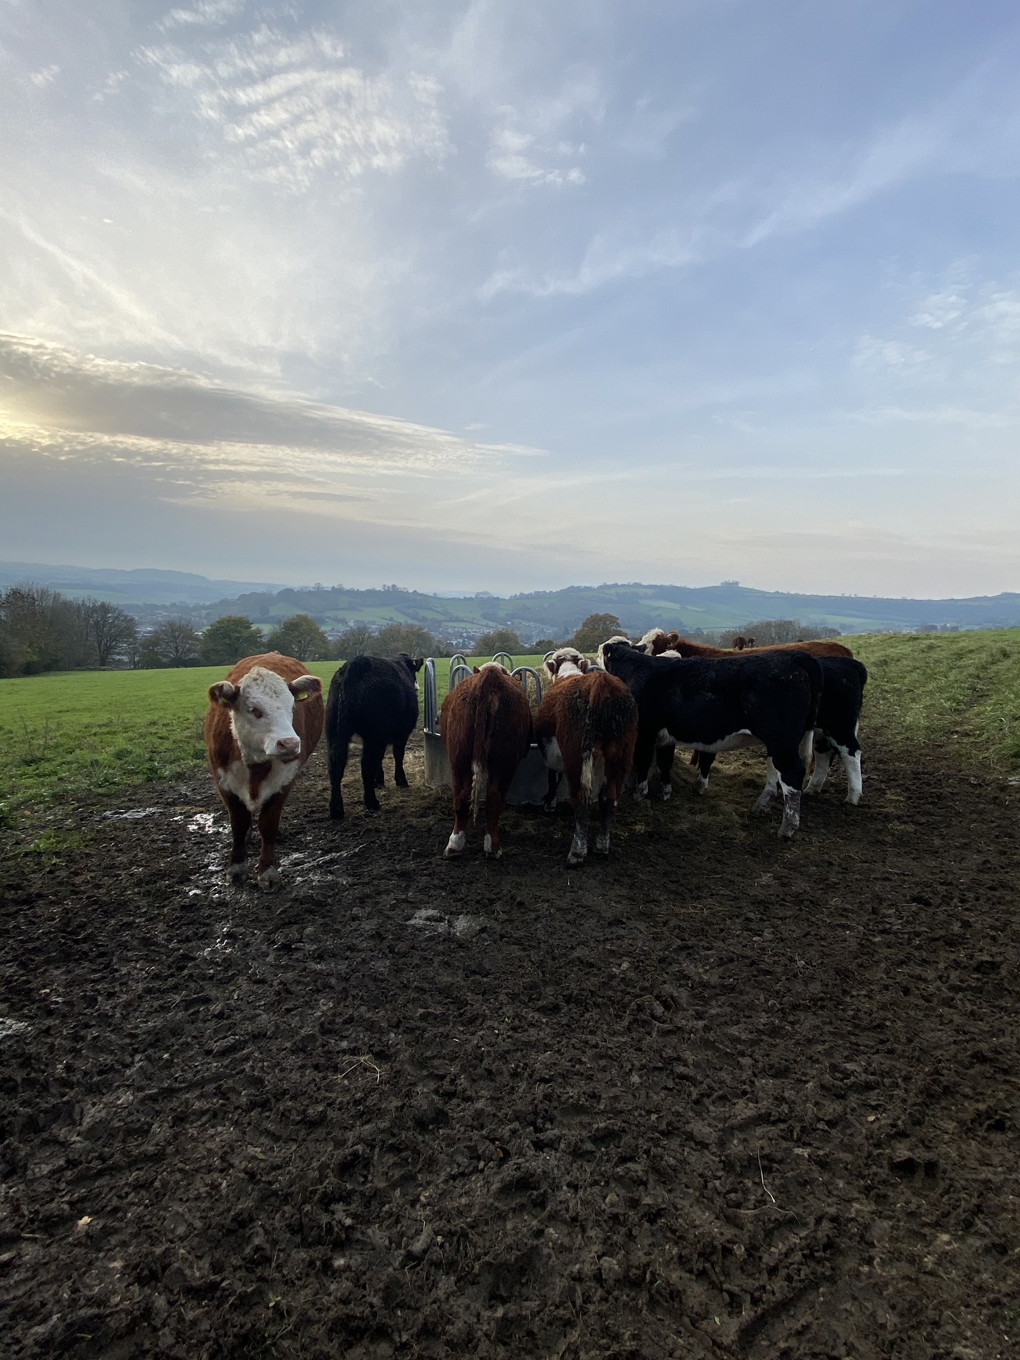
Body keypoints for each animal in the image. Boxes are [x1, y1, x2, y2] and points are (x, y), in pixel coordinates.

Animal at [205, 650, 323, 886]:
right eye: (254, 710)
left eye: (292, 706)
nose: (290, 744)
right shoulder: (223, 782)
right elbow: (239, 824)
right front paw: (237, 867)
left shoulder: (284, 781)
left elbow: (268, 825)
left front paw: (267, 871)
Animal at [327, 650, 424, 816]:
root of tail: (357, 663)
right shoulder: (401, 733)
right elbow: (397, 754)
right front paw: (400, 780)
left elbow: (381, 758)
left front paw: (378, 781)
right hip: (374, 735)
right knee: (366, 764)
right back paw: (371, 802)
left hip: (335, 733)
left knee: (336, 765)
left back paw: (336, 809)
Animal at [440, 660, 535, 859]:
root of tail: (490, 677)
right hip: (504, 761)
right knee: (493, 797)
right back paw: (492, 847)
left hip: (460, 758)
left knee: (463, 797)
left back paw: (456, 844)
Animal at [535, 666, 639, 859]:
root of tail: (601, 682)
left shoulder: (553, 755)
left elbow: (553, 777)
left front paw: (550, 803)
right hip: (620, 757)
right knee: (609, 799)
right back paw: (602, 845)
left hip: (577, 759)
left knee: (581, 800)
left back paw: (577, 851)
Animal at [603, 639, 826, 837]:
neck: (635, 669)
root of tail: (796, 657)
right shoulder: (666, 736)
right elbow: (665, 762)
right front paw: (665, 791)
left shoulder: (646, 732)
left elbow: (643, 762)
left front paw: (639, 794)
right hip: (780, 743)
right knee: (775, 770)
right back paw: (761, 806)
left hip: (781, 741)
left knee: (792, 773)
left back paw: (788, 827)